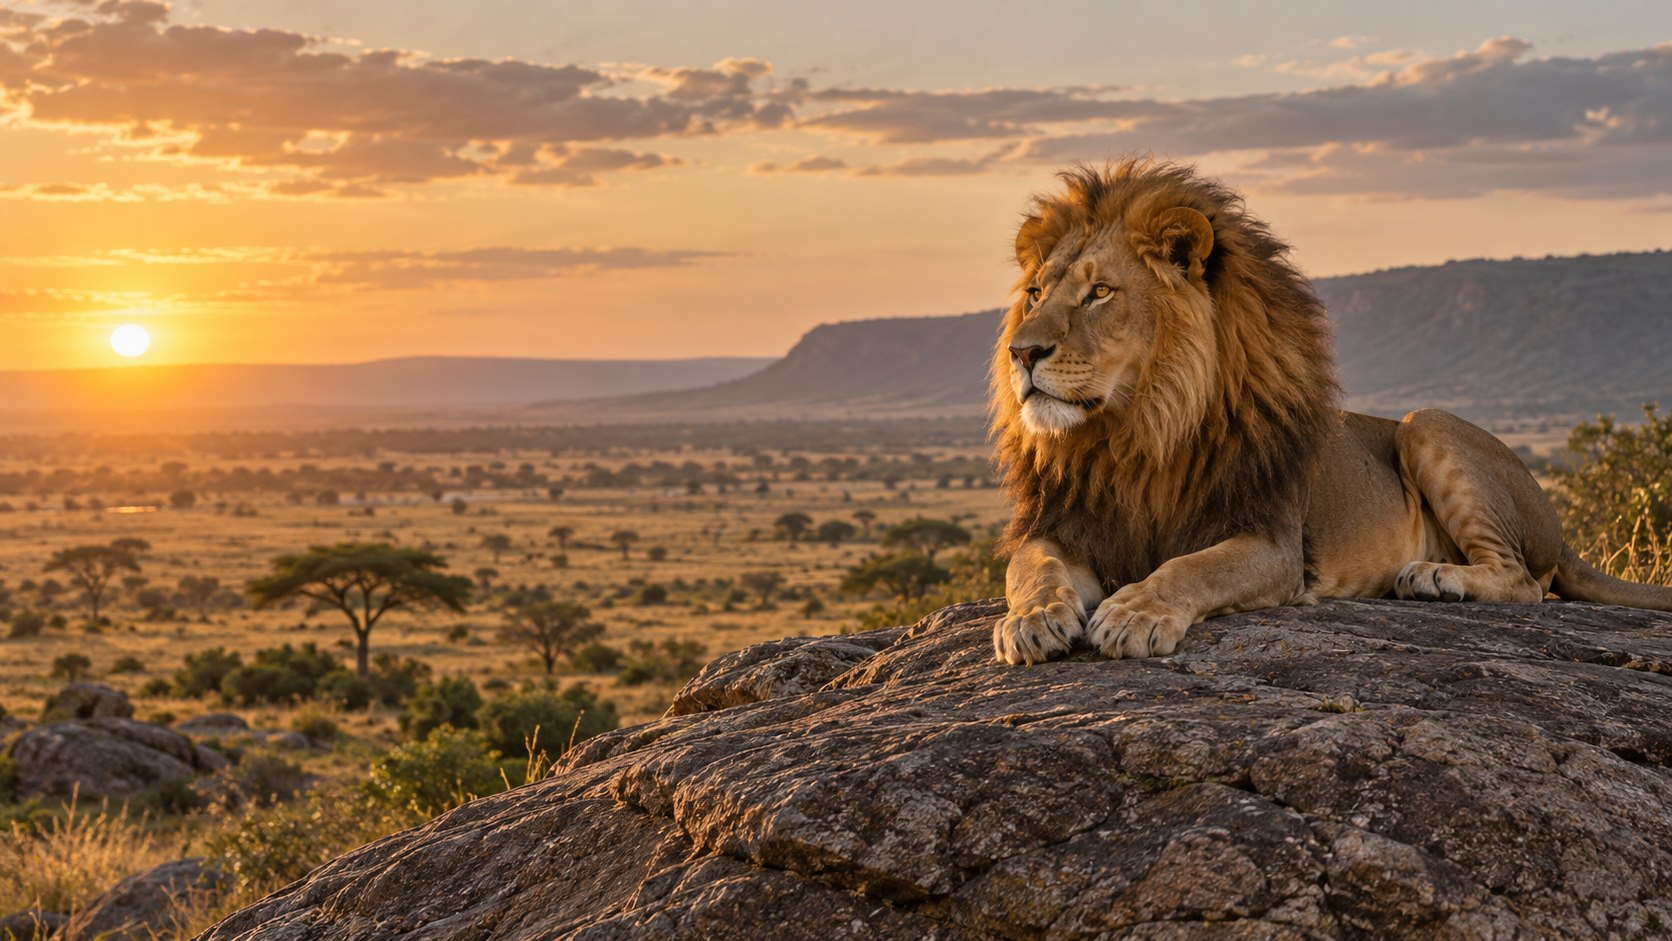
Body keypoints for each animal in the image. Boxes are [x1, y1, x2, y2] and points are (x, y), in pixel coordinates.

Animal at [992, 158, 1672, 665]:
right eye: (1036, 293)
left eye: (1100, 292)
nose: (1021, 352)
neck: (1137, 432)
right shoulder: (1067, 524)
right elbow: (1031, 568)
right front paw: (1032, 620)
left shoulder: (1273, 542)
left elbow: (1190, 569)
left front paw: (1135, 612)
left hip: (1426, 423)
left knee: (1525, 582)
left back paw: (1434, 577)